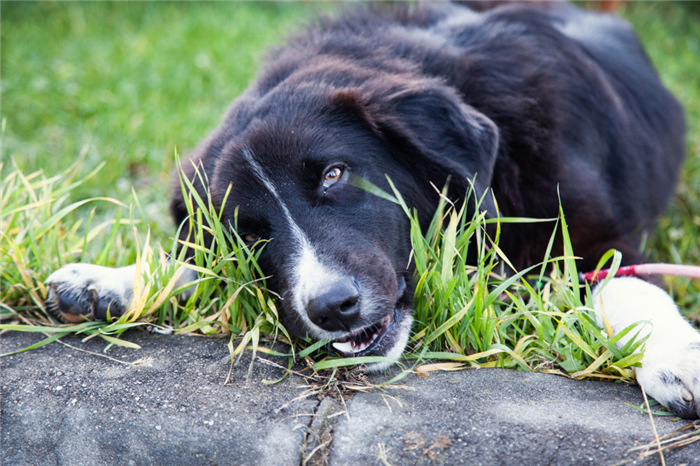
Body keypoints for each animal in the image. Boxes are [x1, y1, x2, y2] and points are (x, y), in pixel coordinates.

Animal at [45, 0, 700, 420]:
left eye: (334, 174)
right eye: (250, 232)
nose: (332, 308)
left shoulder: (594, 237)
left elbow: (628, 287)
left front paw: (675, 358)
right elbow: (200, 265)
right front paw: (110, 280)